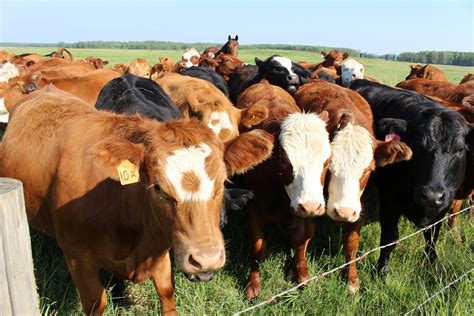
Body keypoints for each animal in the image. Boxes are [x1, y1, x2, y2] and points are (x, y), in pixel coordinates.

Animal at [0, 86, 274, 314]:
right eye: (158, 188)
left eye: (222, 182)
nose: (205, 260)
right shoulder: (78, 258)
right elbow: (95, 304)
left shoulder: (160, 251)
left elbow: (167, 292)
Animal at [235, 81, 332, 298]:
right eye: (283, 160)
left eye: (327, 161)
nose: (311, 206)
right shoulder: (253, 210)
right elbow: (258, 248)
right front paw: (253, 284)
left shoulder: (302, 214)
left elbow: (301, 242)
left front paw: (301, 273)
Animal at [294, 80, 412, 292]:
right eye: (329, 166)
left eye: (368, 170)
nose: (344, 212)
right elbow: (303, 234)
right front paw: (301, 274)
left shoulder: (361, 204)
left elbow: (351, 240)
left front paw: (351, 279)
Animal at [348, 78, 474, 274]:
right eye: (417, 146)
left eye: (460, 149)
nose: (431, 195)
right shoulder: (389, 200)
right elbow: (390, 238)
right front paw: (382, 270)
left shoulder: (443, 205)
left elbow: (432, 236)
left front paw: (431, 263)